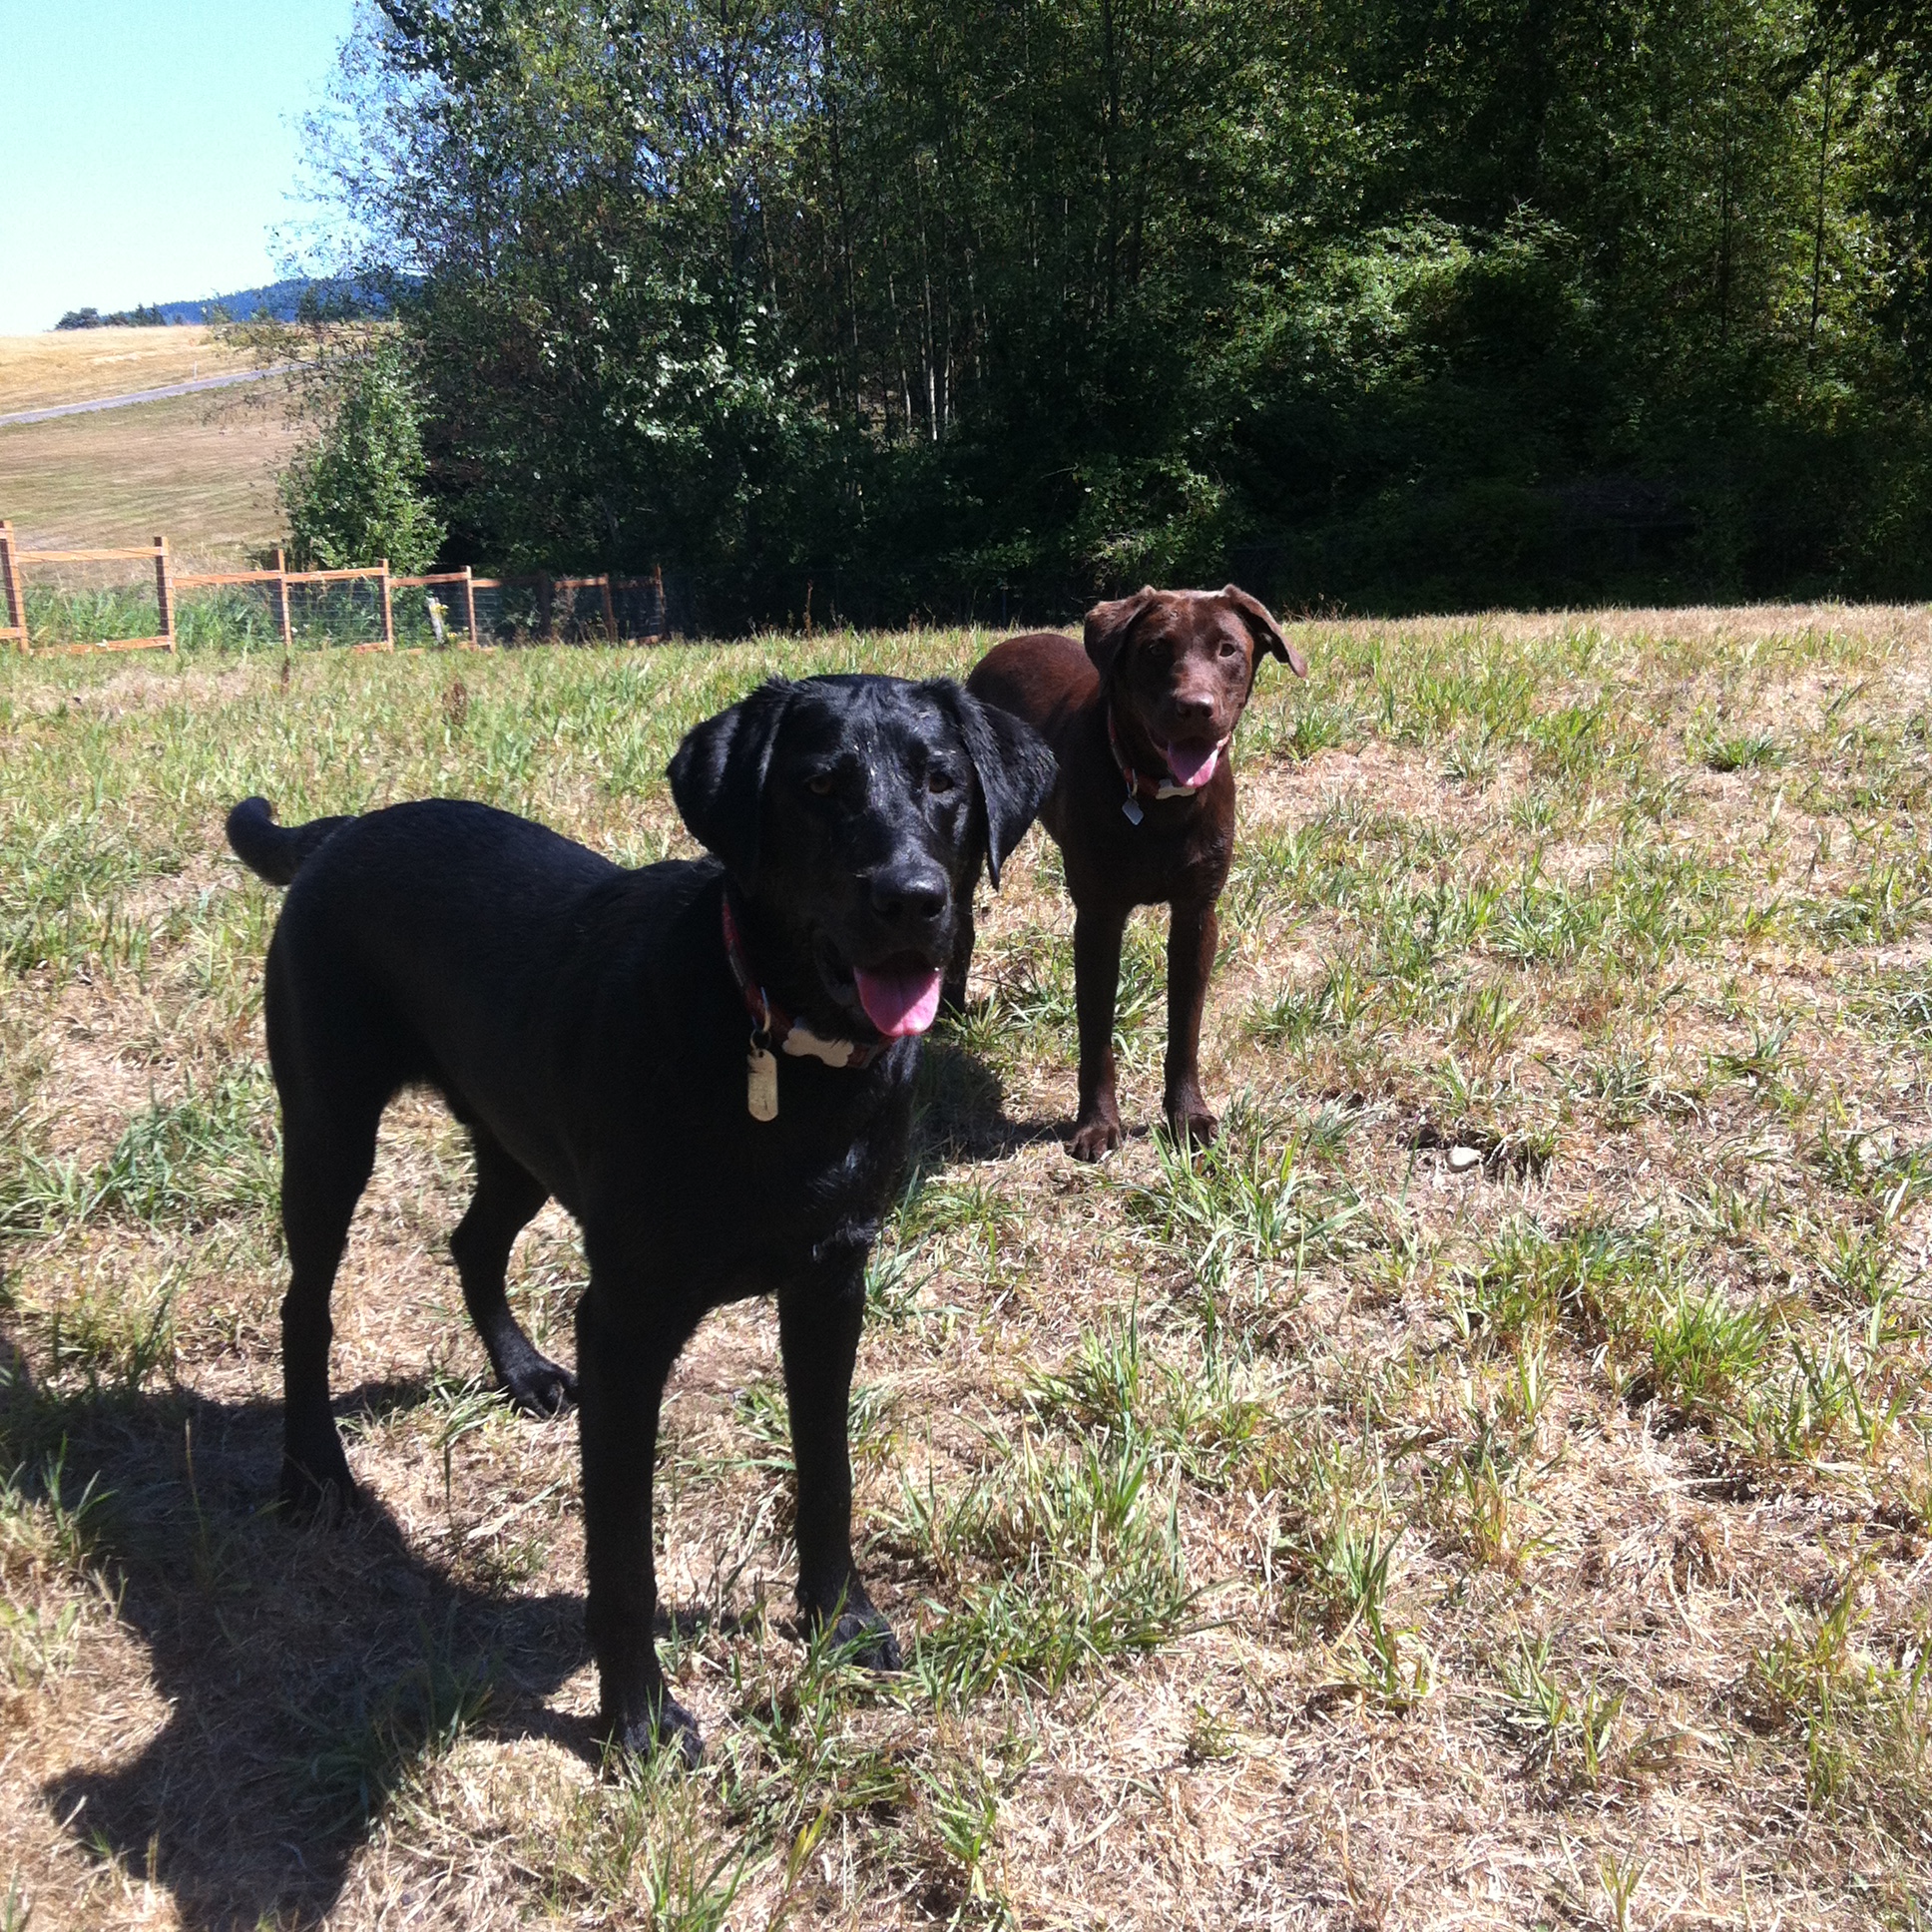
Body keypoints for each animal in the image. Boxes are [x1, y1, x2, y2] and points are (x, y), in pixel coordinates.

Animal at [225, 672, 1054, 1763]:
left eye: (945, 782)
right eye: (817, 787)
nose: (913, 899)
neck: (779, 1054)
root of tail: (345, 828)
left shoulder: (831, 1283)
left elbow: (827, 1472)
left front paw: (841, 1619)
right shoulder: (629, 1320)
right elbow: (622, 1556)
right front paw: (640, 1720)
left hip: (518, 1135)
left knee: (472, 1240)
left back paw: (523, 1373)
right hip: (330, 1128)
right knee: (305, 1303)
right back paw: (313, 1472)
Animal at [954, 586, 1306, 1159]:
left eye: (1228, 648)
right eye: (1156, 649)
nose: (1195, 708)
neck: (1158, 795)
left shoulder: (1197, 913)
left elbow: (1185, 1026)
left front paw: (1188, 1116)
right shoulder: (1098, 918)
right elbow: (1095, 1031)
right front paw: (1096, 1125)